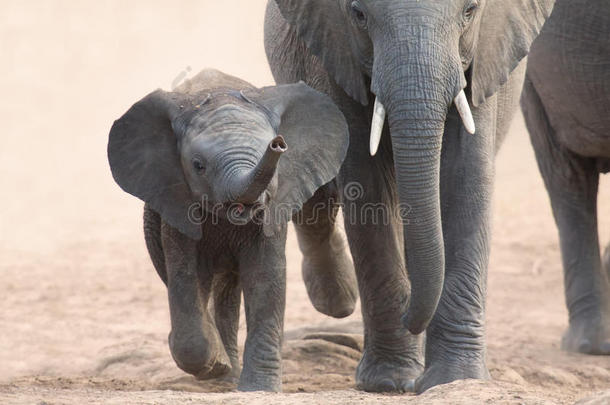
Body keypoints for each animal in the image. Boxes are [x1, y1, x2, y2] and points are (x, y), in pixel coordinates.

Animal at [108, 69, 356, 392]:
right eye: (198, 165)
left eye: (279, 156)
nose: (278, 144)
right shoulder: (176, 204)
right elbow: (186, 274)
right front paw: (215, 363)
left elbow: (265, 278)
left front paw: (259, 389)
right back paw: (222, 371)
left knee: (227, 291)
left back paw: (228, 377)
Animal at [264, 0, 552, 392]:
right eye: (358, 15)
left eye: (470, 11)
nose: (410, 316)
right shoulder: (339, 56)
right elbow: (368, 185)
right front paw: (391, 380)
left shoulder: (482, 61)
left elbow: (466, 178)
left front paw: (454, 378)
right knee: (319, 190)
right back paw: (338, 300)